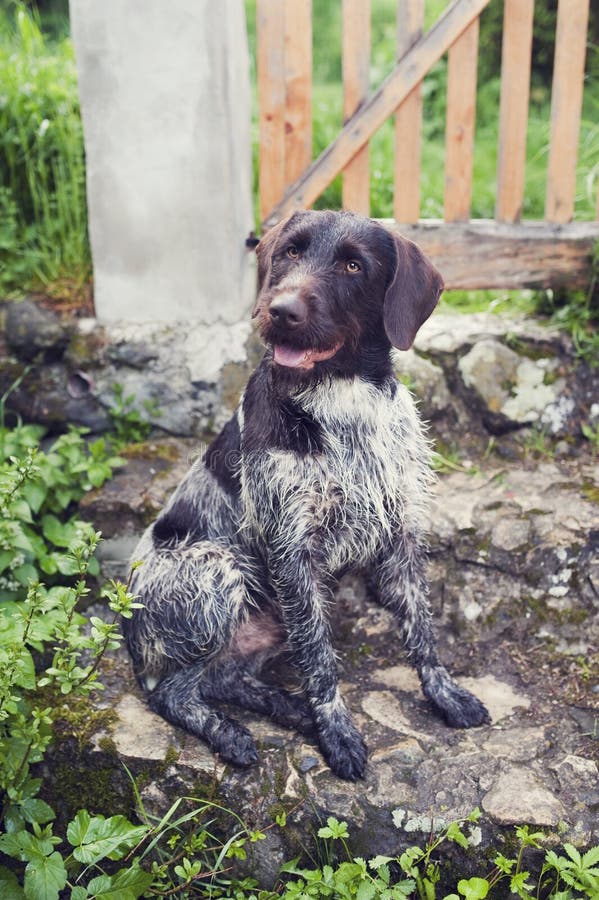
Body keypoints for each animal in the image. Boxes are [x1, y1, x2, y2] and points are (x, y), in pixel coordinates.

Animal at [123, 206, 492, 780]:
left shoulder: (401, 529)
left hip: (269, 620)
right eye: (291, 252)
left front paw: (444, 695)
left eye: (353, 265)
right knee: (169, 692)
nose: (280, 310)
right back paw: (232, 732)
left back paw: (286, 706)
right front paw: (336, 732)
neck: (342, 399)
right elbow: (320, 661)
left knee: (223, 677)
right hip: (219, 570)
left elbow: (422, 630)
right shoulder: (293, 548)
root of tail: (128, 633)